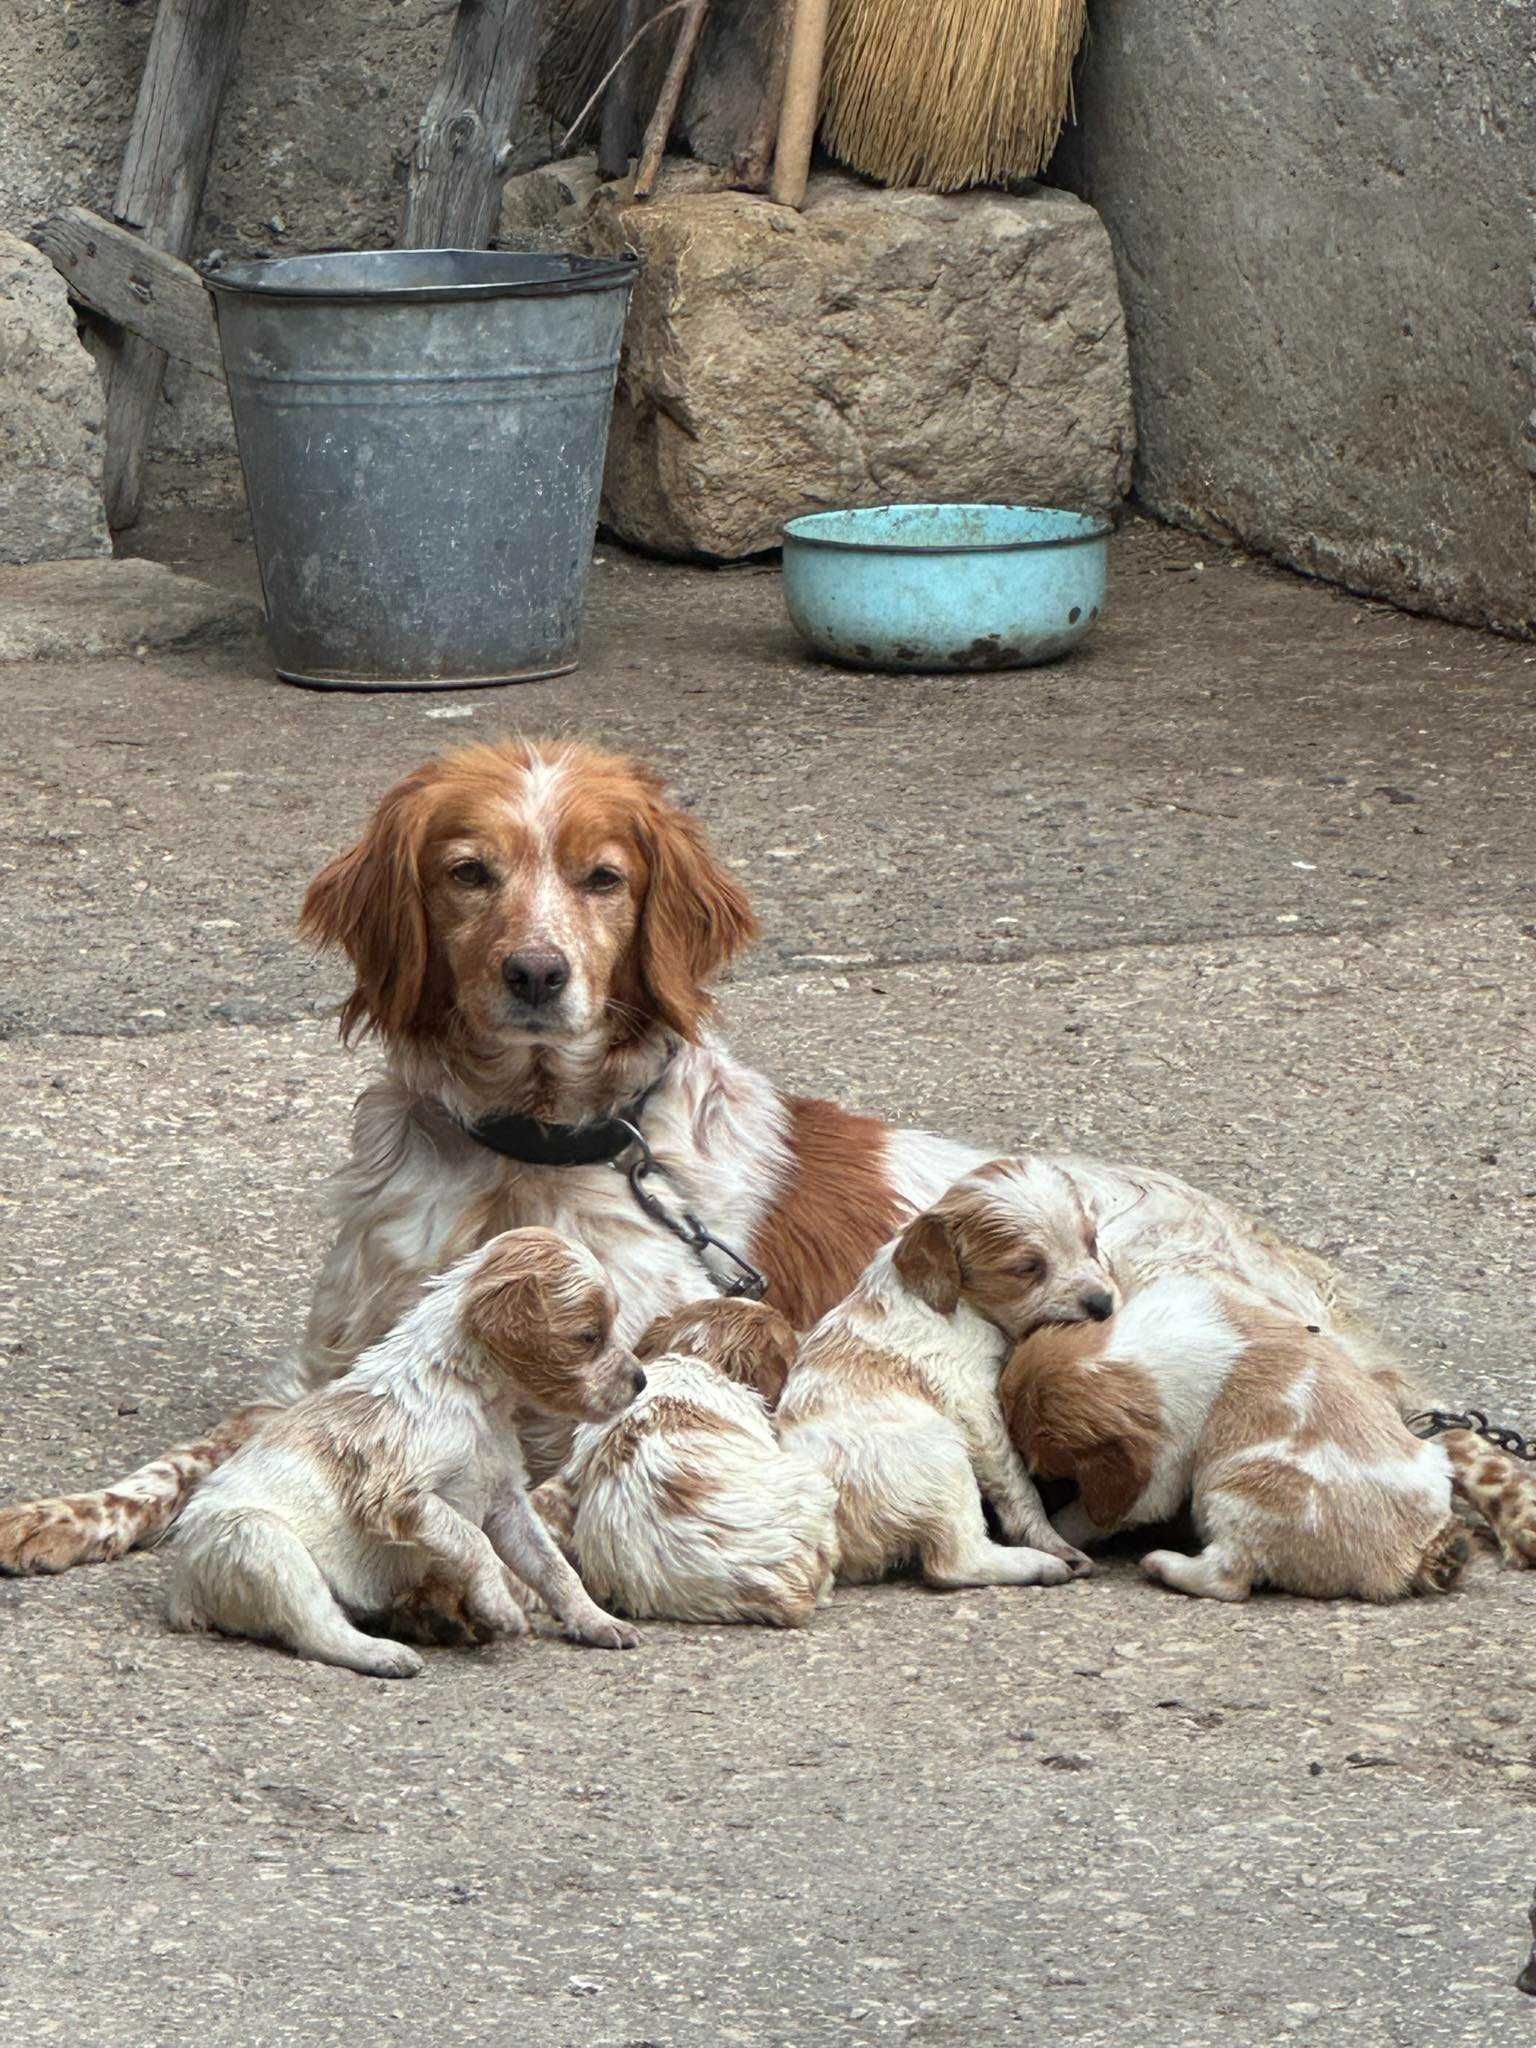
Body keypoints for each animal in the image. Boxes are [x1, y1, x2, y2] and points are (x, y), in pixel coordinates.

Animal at [167, 1220, 651, 1671]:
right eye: (589, 1336)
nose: (641, 1381)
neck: (475, 1398)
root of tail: (184, 1591)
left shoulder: (505, 1500)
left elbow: (552, 1566)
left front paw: (593, 1620)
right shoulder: (397, 1494)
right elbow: (472, 1540)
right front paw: (499, 1603)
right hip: (261, 1540)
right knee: (315, 1627)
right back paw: (383, 1653)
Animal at [782, 1163, 1122, 1589]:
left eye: (1091, 1243)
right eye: (1028, 1268)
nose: (1103, 1304)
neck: (963, 1302)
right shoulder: (975, 1403)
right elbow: (1017, 1484)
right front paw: (1051, 1539)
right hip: (942, 1460)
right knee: (955, 1562)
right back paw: (1041, 1563)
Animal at [1011, 1261, 1466, 1597]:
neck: (1135, 1350)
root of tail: (1414, 1554)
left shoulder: (1156, 1476)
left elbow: (1091, 1514)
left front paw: (1058, 1528)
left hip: (1239, 1493)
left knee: (1228, 1578)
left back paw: (1163, 1564)